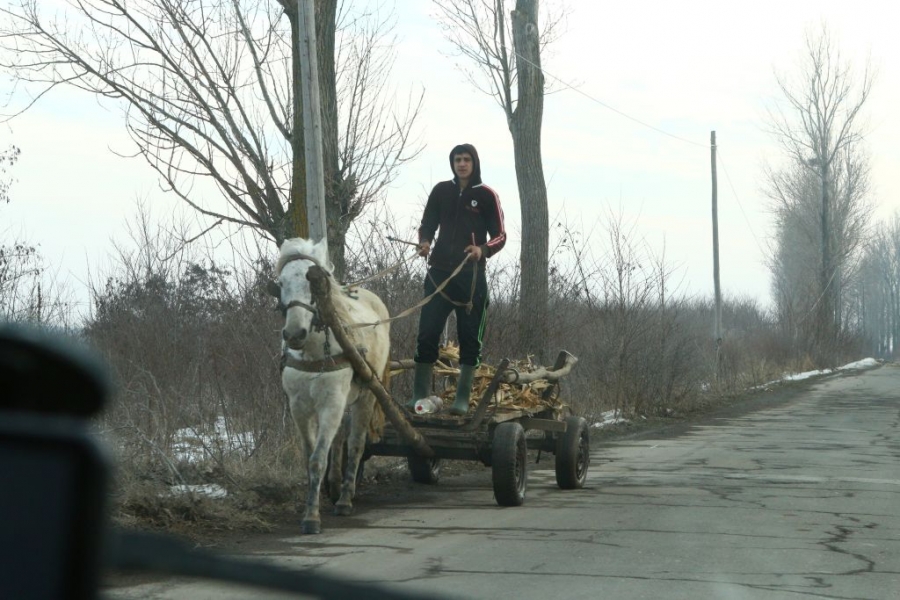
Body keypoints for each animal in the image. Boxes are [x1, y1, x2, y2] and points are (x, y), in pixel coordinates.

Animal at [270, 237, 390, 532]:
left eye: (313, 282)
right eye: (281, 283)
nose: (294, 334)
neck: (313, 352)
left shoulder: (332, 403)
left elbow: (318, 459)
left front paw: (312, 517)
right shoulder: (299, 407)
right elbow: (310, 457)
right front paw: (313, 503)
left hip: (366, 395)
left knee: (356, 443)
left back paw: (345, 498)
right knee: (339, 439)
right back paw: (335, 486)